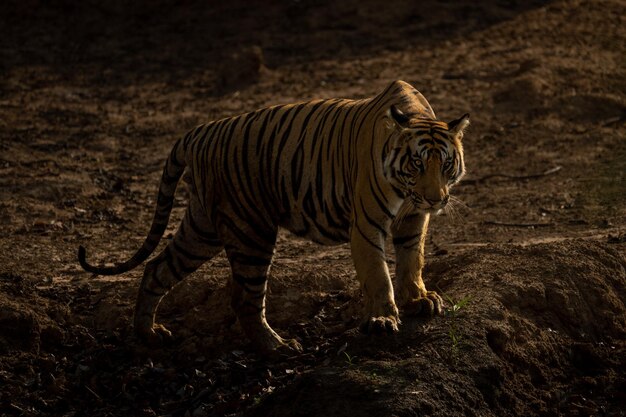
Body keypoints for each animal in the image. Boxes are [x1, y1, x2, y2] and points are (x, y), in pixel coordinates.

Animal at [77, 80, 468, 354]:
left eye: (446, 164)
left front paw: (418, 299)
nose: (435, 199)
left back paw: (149, 334)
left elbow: (411, 261)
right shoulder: (367, 225)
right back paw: (276, 347)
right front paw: (383, 318)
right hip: (250, 230)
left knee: (157, 268)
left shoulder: (414, 220)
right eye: (416, 163)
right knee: (245, 298)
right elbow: (378, 275)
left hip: (203, 228)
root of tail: (200, 131)